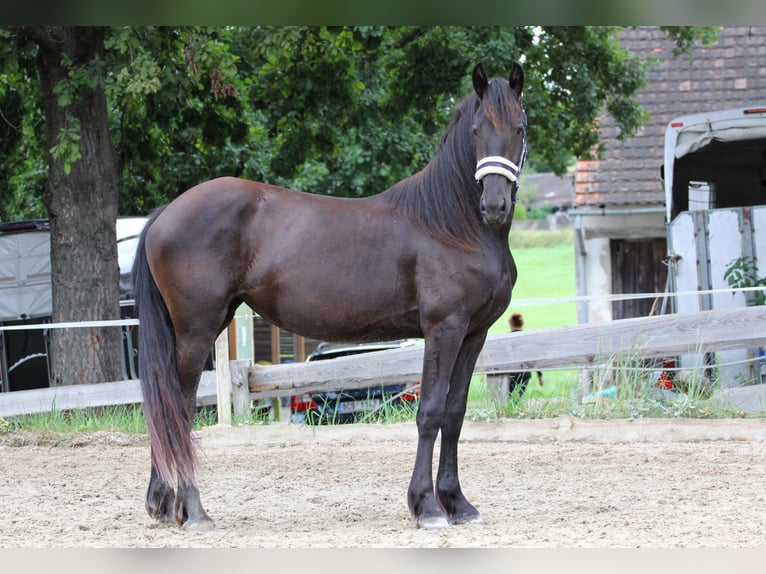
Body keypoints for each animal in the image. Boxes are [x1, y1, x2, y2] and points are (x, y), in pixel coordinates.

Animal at [132, 61, 527, 531]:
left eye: (520, 128)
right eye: (476, 130)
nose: (495, 205)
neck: (451, 226)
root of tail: (165, 213)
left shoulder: (473, 334)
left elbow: (454, 413)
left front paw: (458, 503)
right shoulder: (443, 330)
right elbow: (430, 412)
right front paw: (428, 507)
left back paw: (161, 504)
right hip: (196, 332)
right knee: (179, 409)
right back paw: (193, 511)